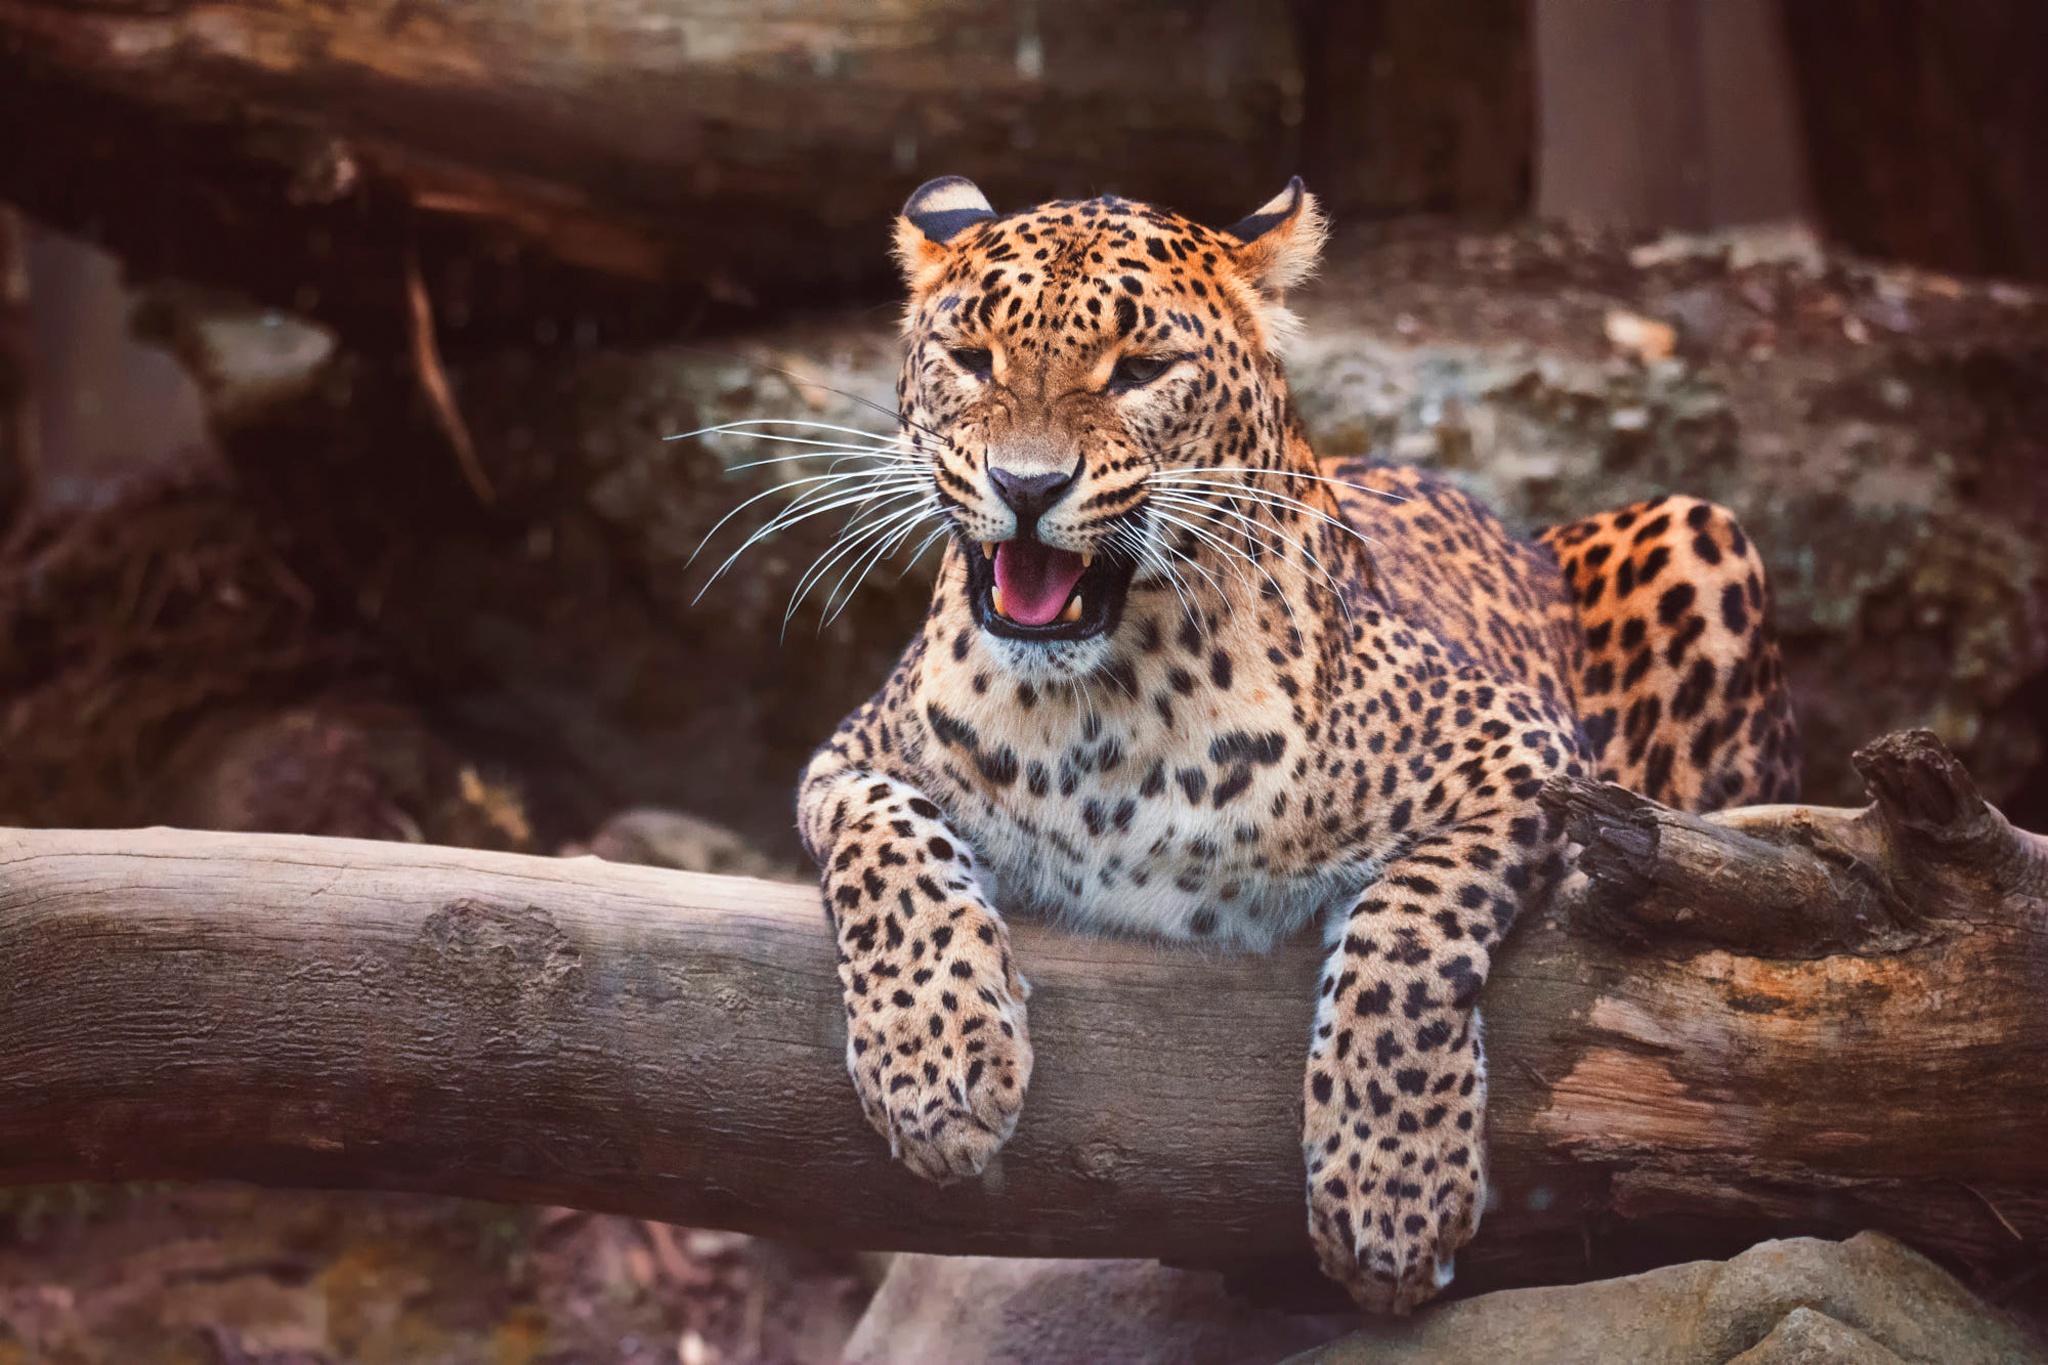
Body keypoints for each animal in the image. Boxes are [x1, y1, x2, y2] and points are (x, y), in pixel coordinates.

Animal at [782, 173, 1794, 1309]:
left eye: (1139, 371)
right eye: (971, 359)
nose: (1027, 487)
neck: (1094, 711)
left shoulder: (1521, 753)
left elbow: (1405, 937)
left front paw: (1393, 1186)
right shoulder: (853, 756)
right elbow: (889, 851)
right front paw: (938, 1066)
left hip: (1699, 530)